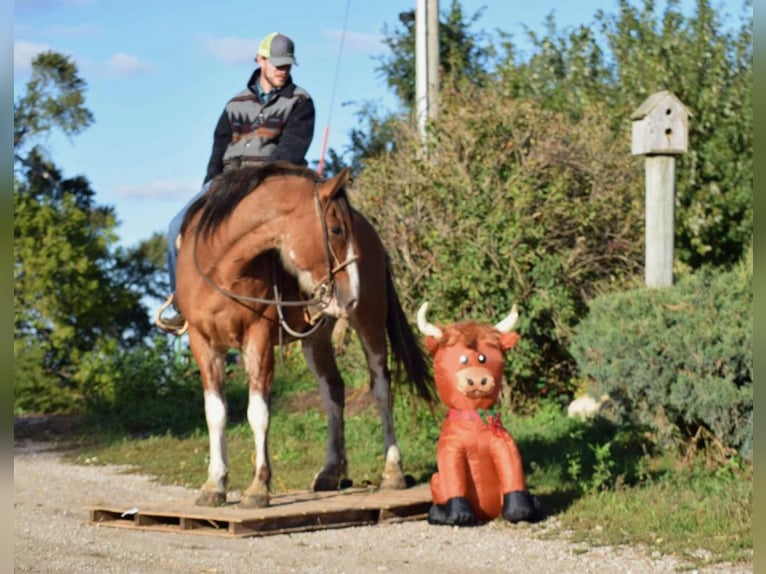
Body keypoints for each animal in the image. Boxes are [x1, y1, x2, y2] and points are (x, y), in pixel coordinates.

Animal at [176, 162, 438, 508]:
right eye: (336, 230)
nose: (351, 295)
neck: (220, 268)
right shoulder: (203, 344)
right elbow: (215, 413)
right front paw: (214, 485)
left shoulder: (258, 338)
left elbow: (258, 412)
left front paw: (258, 487)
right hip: (315, 339)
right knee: (333, 391)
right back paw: (331, 471)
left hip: (369, 322)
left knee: (381, 387)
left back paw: (392, 470)